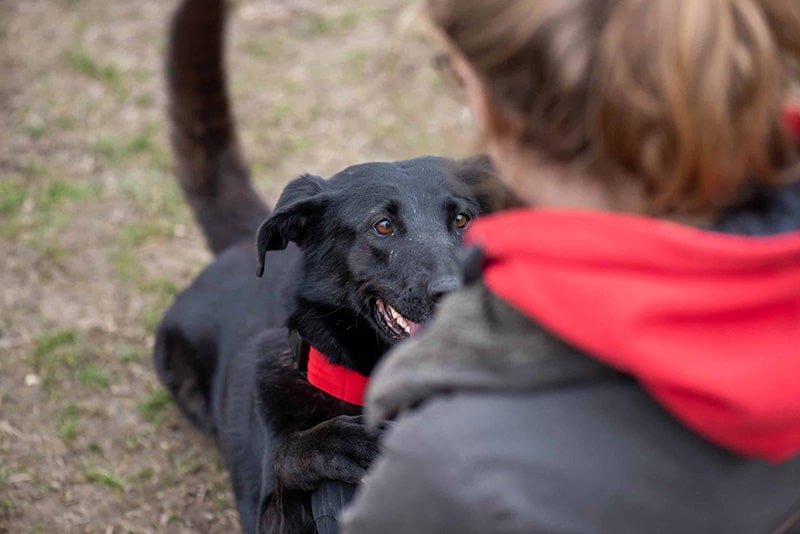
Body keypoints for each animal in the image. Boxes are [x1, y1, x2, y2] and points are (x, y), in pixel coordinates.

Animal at [155, 2, 494, 532]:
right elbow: (287, 457)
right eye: (382, 226)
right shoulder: (267, 513)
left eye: (461, 219)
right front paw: (341, 443)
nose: (454, 291)